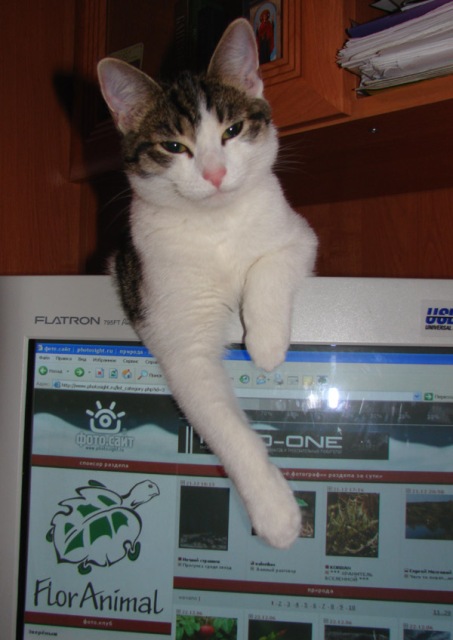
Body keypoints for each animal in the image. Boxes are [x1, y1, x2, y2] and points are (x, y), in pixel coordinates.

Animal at [97, 18, 318, 549]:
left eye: (232, 130)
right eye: (174, 146)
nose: (215, 173)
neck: (215, 224)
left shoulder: (297, 233)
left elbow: (270, 264)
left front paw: (265, 343)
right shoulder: (173, 328)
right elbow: (217, 417)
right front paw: (276, 511)